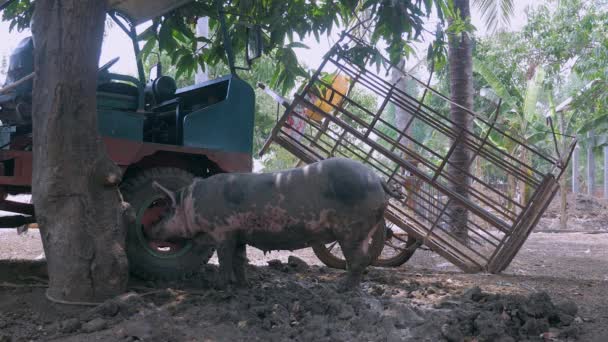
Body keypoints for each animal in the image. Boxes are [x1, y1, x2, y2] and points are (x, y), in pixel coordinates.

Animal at [148, 157, 400, 288]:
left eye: (166, 212)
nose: (149, 228)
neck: (191, 203)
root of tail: (378, 178)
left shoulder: (223, 230)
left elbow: (224, 258)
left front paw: (218, 287)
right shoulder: (239, 233)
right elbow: (239, 259)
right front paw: (243, 285)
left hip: (351, 230)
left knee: (358, 260)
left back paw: (342, 290)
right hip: (363, 230)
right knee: (364, 258)